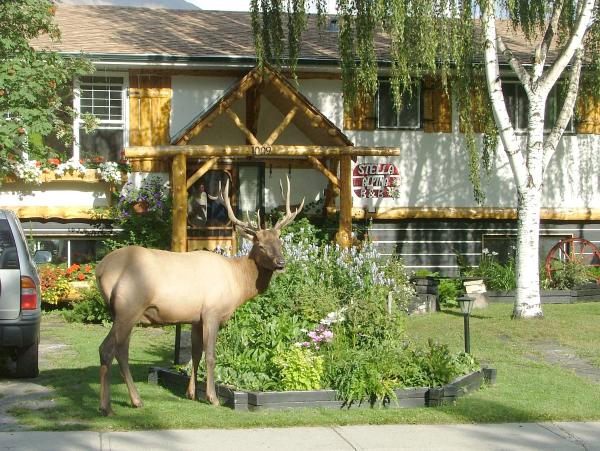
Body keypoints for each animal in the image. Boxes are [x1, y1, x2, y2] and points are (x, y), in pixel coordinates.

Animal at [99, 177, 308, 416]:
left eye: (280, 243)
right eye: (261, 246)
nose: (281, 263)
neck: (237, 283)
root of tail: (100, 270)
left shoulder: (196, 318)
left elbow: (195, 354)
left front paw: (191, 393)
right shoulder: (212, 312)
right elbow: (210, 355)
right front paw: (212, 397)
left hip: (121, 312)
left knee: (120, 351)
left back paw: (132, 401)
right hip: (129, 307)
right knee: (108, 349)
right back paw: (110, 406)